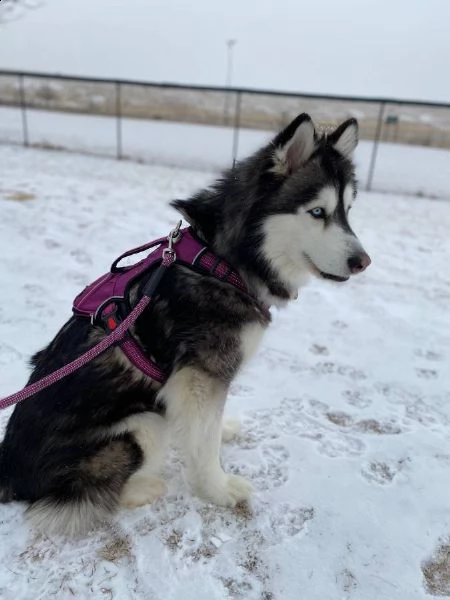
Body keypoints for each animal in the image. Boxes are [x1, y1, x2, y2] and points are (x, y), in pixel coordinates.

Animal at [0, 112, 370, 536]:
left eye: (347, 211)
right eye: (317, 212)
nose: (363, 261)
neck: (223, 262)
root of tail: (7, 472)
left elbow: (207, 427)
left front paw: (223, 431)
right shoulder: (201, 376)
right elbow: (204, 445)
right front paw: (218, 489)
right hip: (142, 423)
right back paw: (146, 487)